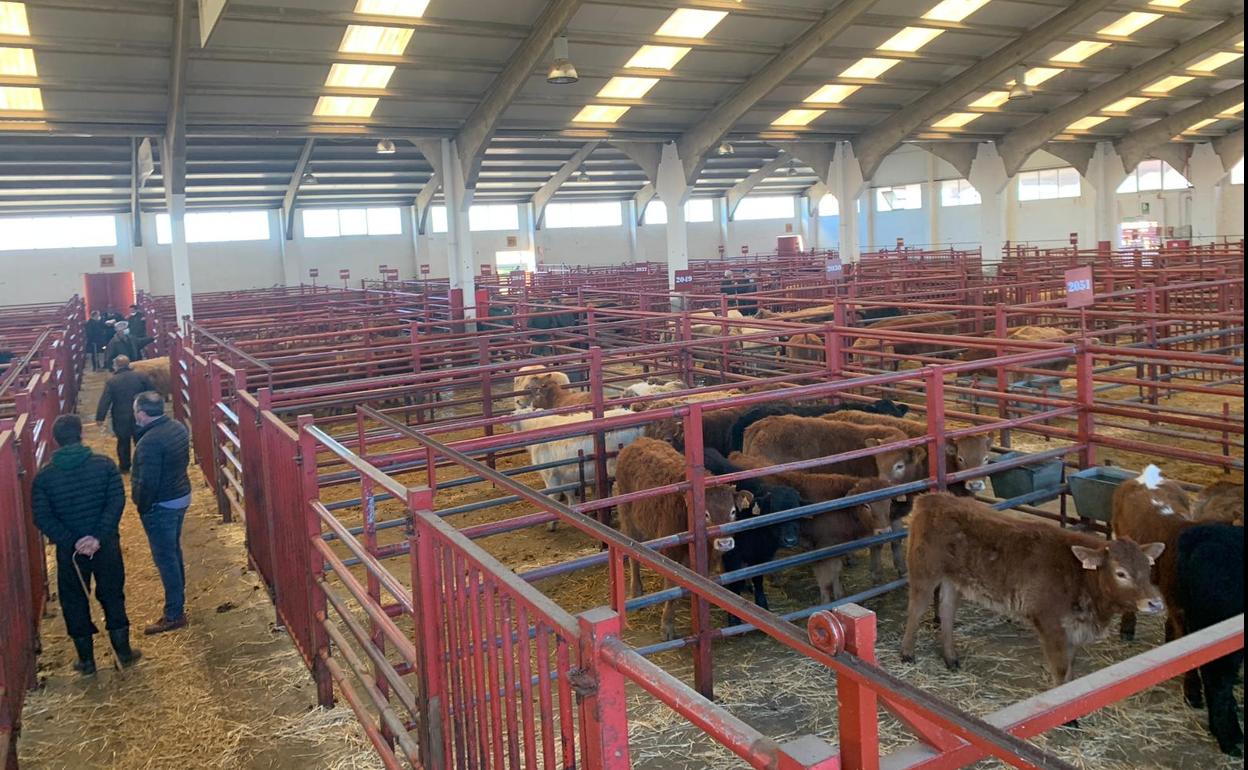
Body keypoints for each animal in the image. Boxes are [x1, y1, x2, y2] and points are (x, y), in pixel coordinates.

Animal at [903, 489, 1163, 688]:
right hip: (924, 572)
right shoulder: (1050, 625)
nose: (1155, 602)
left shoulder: (1073, 631)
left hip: (952, 579)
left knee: (946, 612)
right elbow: (1060, 670)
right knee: (916, 609)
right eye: (1121, 573)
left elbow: (1071, 670)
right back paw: (907, 653)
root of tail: (932, 498)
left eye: (1148, 566)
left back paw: (950, 658)